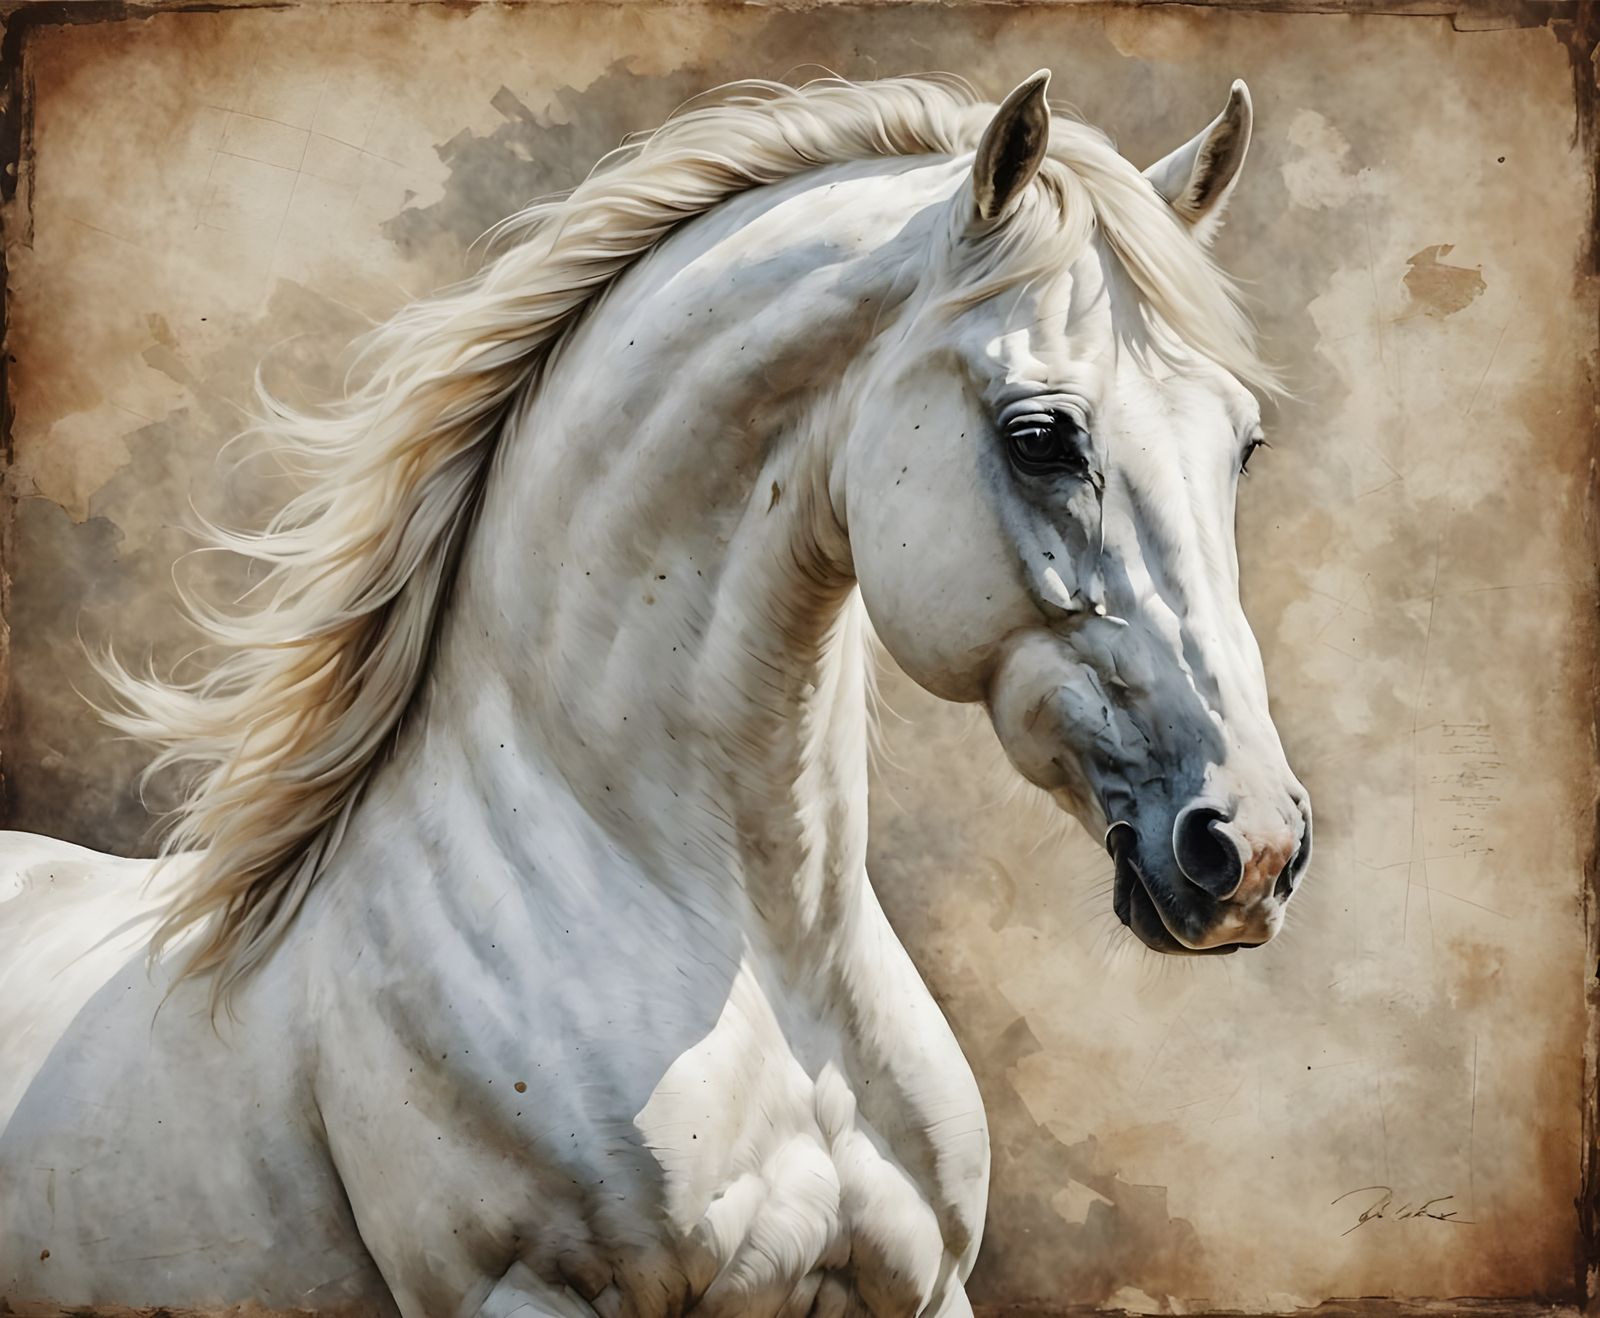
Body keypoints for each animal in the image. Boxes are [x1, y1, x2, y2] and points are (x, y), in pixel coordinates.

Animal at [0, 71, 1310, 1317]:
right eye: (1040, 436)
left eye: (1240, 445)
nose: (1247, 845)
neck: (767, 963)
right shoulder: (521, 1293)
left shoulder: (925, 1287)